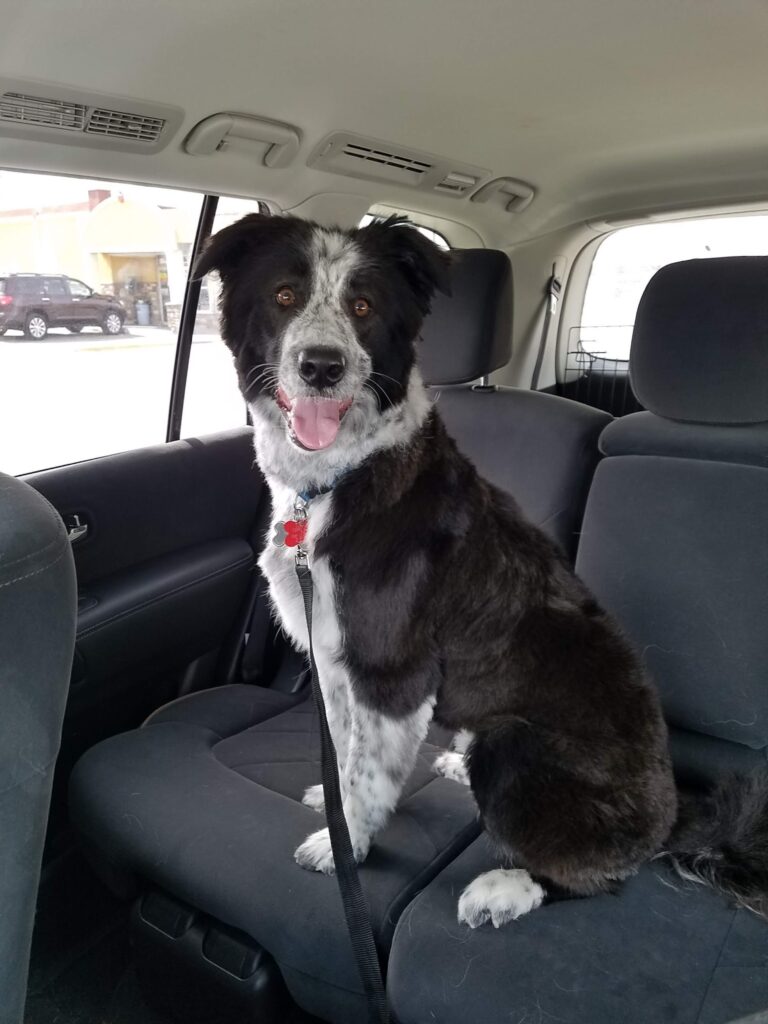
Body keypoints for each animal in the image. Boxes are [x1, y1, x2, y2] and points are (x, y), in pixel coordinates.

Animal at [194, 213, 768, 927]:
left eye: (363, 307)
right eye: (284, 295)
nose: (321, 367)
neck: (341, 477)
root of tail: (673, 815)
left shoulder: (392, 672)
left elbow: (366, 775)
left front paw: (344, 844)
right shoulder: (335, 660)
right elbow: (345, 747)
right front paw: (331, 806)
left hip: (516, 745)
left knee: (592, 875)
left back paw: (504, 888)